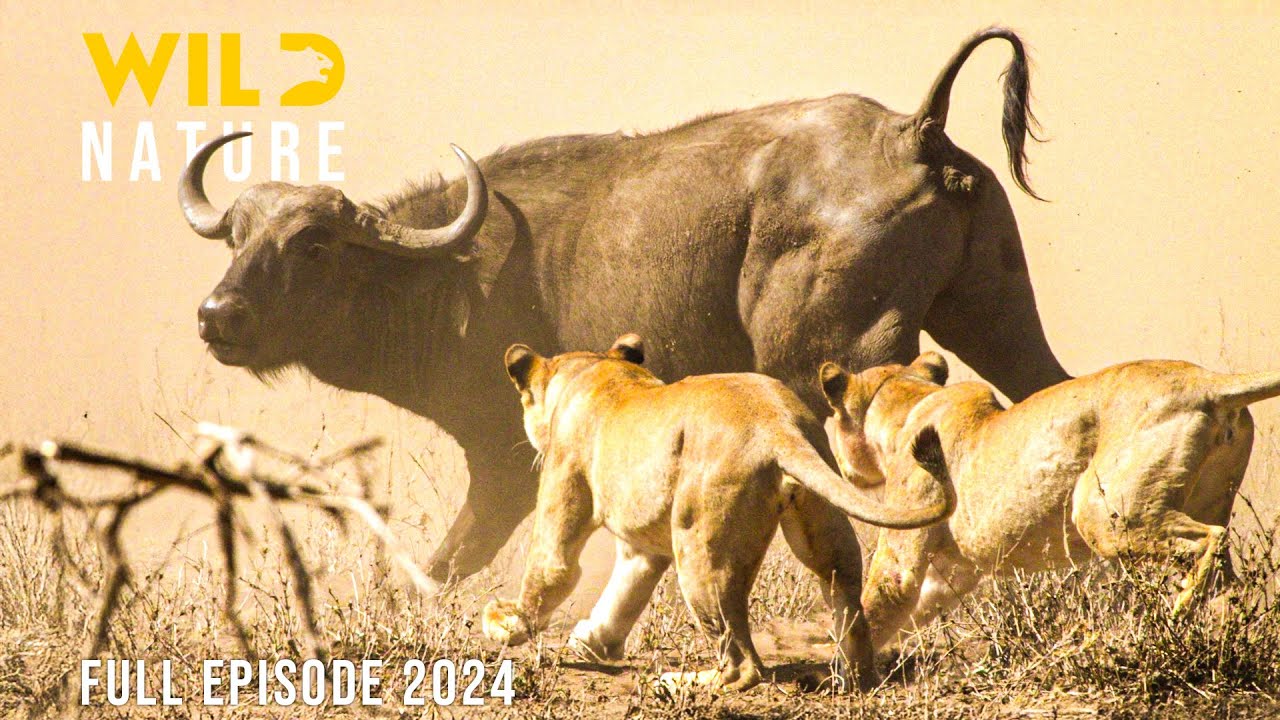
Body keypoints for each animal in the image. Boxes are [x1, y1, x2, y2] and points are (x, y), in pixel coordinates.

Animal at [180, 27, 1069, 582]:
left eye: (313, 245)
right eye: (236, 238)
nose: (217, 316)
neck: (452, 275)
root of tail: (911, 132)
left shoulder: (504, 461)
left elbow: (444, 564)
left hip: (835, 361)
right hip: (998, 316)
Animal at [481, 334, 953, 691]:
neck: (599, 370)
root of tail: (776, 424)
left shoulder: (566, 479)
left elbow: (552, 568)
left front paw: (506, 623)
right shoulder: (642, 547)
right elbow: (626, 588)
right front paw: (592, 641)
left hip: (699, 547)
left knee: (743, 664)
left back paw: (677, 683)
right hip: (825, 530)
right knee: (851, 611)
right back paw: (848, 676)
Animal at [819, 352, 1280, 650]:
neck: (908, 399)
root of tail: (1209, 381)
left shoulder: (906, 547)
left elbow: (878, 602)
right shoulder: (952, 571)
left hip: (1103, 512)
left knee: (1209, 539)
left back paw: (1171, 618)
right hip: (1205, 499)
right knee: (1226, 580)